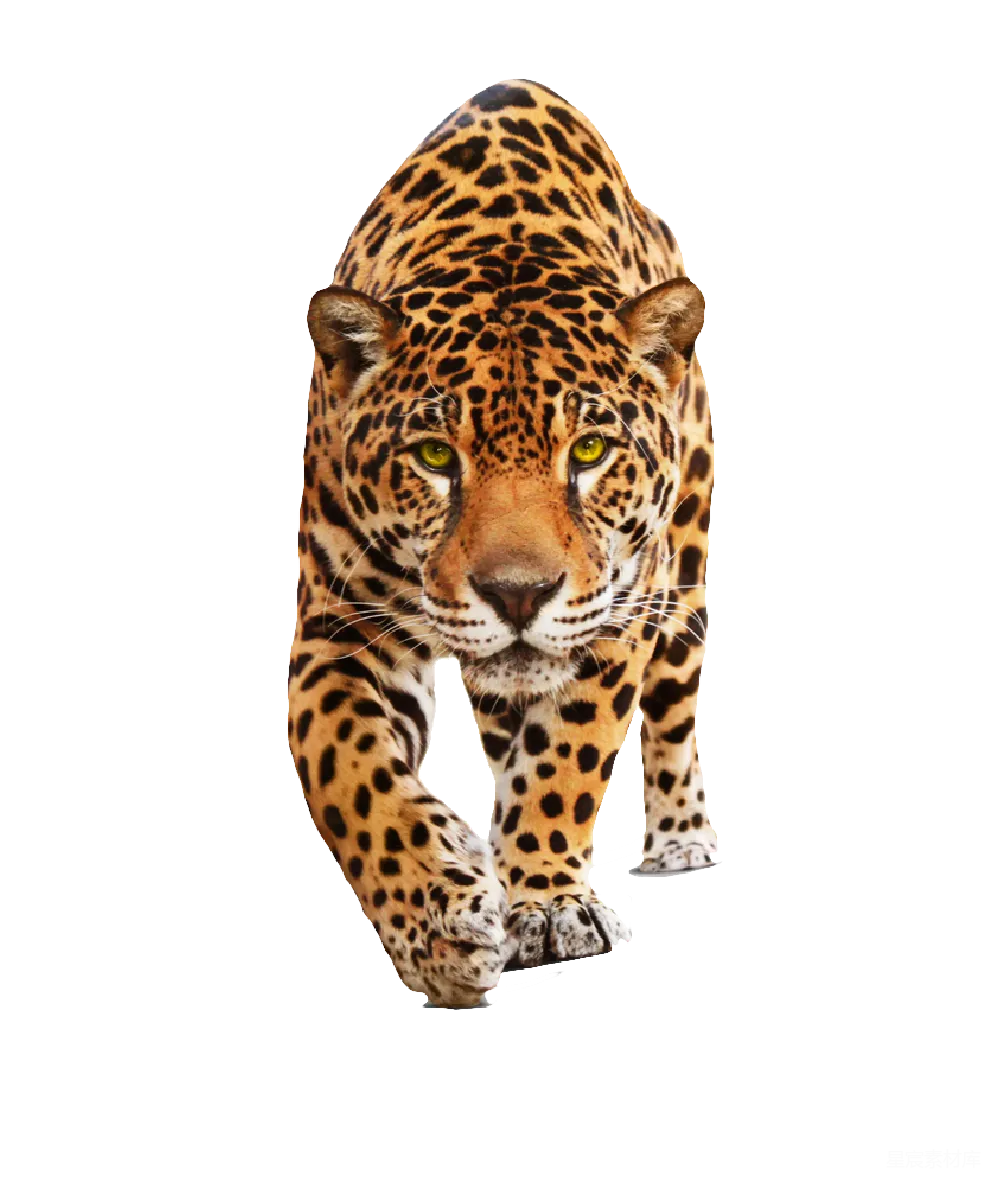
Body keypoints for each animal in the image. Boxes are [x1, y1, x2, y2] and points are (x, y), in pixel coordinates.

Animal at [288, 79, 717, 1007]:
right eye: (434, 457)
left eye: (588, 452)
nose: (518, 594)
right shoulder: (337, 630)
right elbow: (347, 773)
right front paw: (440, 928)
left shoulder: (615, 611)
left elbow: (567, 758)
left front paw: (546, 904)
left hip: (686, 570)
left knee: (672, 707)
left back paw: (679, 836)